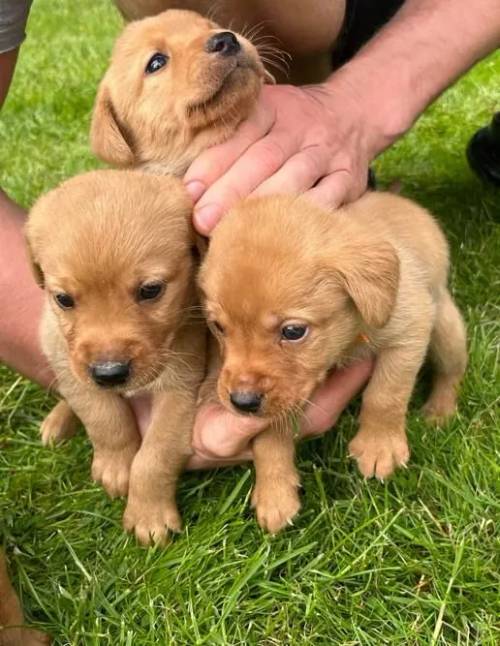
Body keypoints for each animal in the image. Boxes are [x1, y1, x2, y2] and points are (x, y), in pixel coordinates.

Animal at [24, 171, 205, 548]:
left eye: (151, 290)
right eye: (63, 299)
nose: (110, 374)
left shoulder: (181, 385)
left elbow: (155, 455)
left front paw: (149, 515)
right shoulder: (69, 364)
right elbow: (105, 418)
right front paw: (116, 466)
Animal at [200, 191, 468, 532]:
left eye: (293, 331)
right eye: (218, 327)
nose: (242, 402)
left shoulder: (410, 328)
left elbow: (385, 396)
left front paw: (379, 446)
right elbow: (267, 436)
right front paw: (275, 491)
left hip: (445, 327)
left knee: (451, 371)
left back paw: (440, 410)